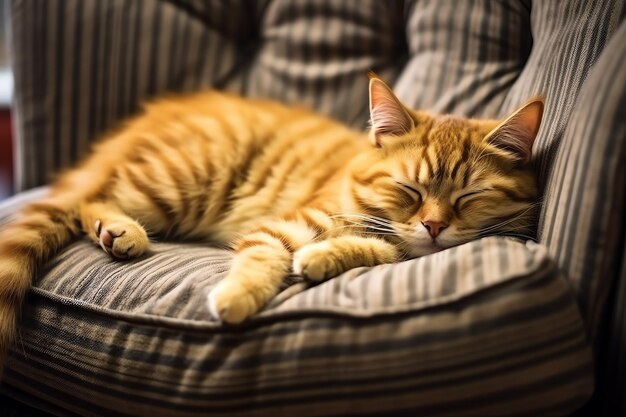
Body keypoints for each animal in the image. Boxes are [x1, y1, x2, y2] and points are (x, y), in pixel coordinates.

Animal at [0, 75, 540, 370]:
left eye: (469, 196)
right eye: (410, 190)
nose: (434, 227)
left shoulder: (392, 244)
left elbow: (374, 249)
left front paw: (322, 258)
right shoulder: (286, 226)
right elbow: (262, 259)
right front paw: (237, 299)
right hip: (177, 183)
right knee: (89, 200)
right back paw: (121, 231)